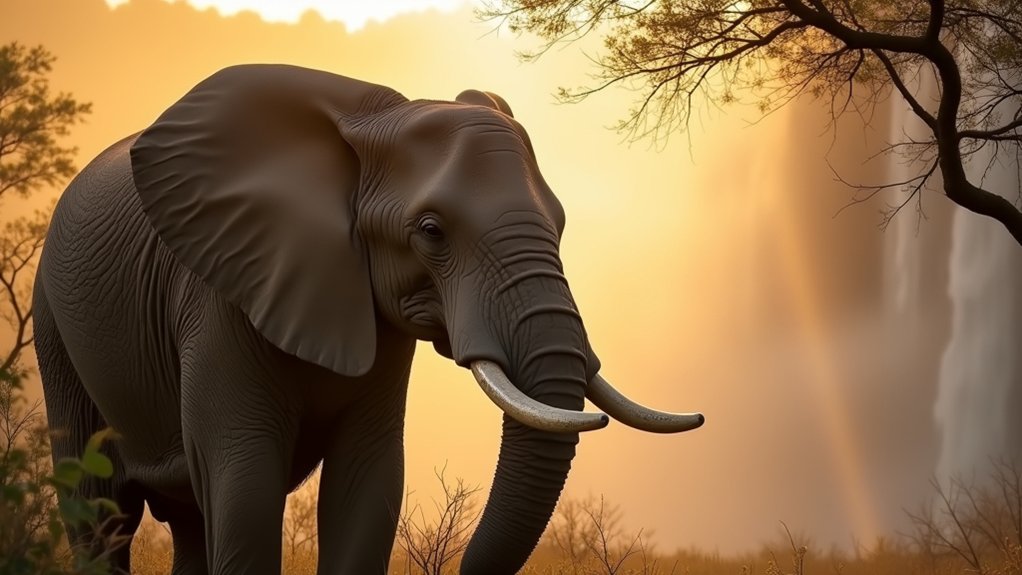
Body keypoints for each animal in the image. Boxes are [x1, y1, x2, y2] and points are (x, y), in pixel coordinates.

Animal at [32, 64, 703, 575]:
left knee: (188, 520)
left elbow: (369, 481)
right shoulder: (218, 297)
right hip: (54, 330)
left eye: (561, 224)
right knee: (101, 511)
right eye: (431, 232)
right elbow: (244, 482)